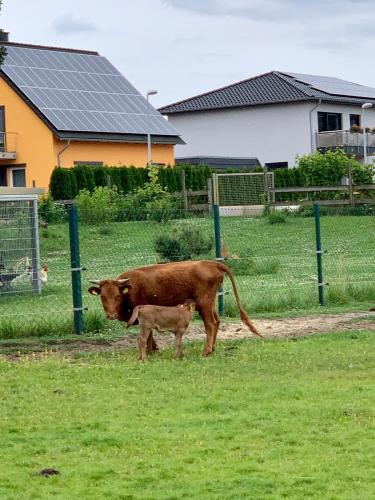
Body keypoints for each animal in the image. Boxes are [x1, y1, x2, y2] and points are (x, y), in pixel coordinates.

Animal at [89, 262, 262, 356]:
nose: (111, 315)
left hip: (204, 303)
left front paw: (150, 350)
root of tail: (210, 263)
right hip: (210, 303)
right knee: (217, 321)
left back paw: (206, 351)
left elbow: (148, 334)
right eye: (102, 297)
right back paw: (212, 348)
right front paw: (153, 349)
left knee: (211, 324)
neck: (131, 288)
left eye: (117, 296)